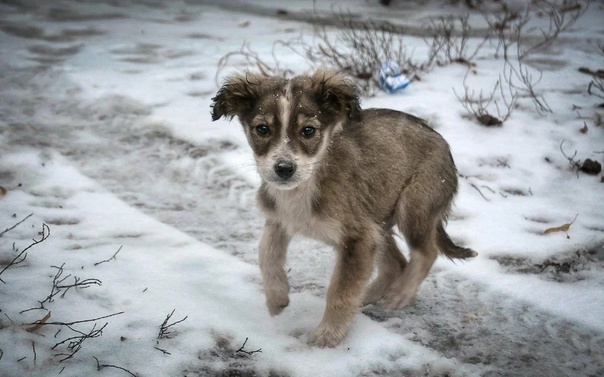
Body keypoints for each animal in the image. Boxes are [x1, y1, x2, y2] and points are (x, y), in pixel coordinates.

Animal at [212, 70, 476, 346]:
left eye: (308, 131)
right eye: (262, 129)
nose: (284, 169)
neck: (304, 186)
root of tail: (442, 141)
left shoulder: (359, 238)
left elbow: (341, 291)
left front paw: (328, 335)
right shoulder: (280, 220)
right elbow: (266, 254)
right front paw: (276, 298)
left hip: (413, 207)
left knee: (426, 252)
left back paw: (400, 294)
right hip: (378, 219)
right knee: (397, 262)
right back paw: (370, 294)